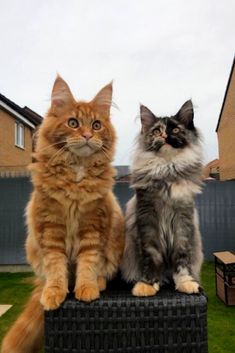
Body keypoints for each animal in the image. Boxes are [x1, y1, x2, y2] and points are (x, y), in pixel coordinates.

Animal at [1, 75, 125, 350]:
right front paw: (55, 293)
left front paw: (87, 288)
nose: (88, 135)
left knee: (104, 270)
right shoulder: (50, 227)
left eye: (97, 125)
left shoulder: (93, 226)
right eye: (73, 123)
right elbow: (56, 266)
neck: (76, 174)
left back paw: (99, 283)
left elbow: (89, 263)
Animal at [121, 100, 204, 296]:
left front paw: (185, 282)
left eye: (176, 130)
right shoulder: (148, 218)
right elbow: (152, 255)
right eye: (157, 131)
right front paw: (148, 284)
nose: (166, 136)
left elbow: (182, 257)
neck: (167, 170)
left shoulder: (183, 219)